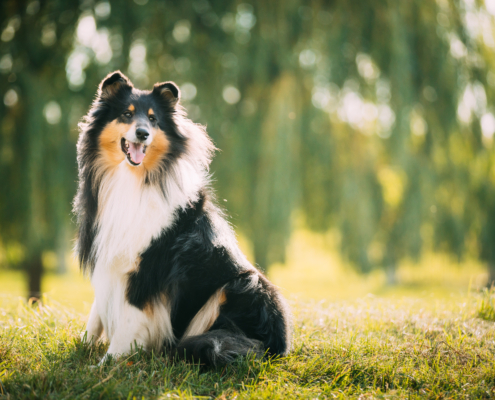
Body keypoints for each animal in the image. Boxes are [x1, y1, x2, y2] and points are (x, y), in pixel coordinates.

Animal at [72, 72, 290, 366]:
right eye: (126, 114)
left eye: (153, 119)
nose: (143, 133)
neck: (133, 180)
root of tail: (279, 347)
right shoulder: (111, 255)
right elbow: (96, 313)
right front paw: (82, 348)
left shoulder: (146, 269)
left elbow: (128, 320)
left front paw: (106, 365)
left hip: (244, 284)